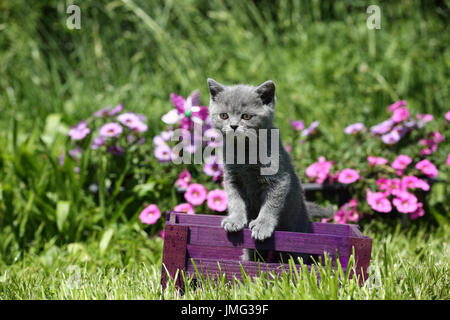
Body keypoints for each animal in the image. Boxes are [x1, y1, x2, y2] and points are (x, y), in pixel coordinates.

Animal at [207, 78, 334, 262]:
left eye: (246, 116)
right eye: (224, 115)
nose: (233, 126)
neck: (246, 153)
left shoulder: (279, 179)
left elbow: (271, 204)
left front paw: (262, 226)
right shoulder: (232, 179)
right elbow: (235, 200)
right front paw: (234, 220)